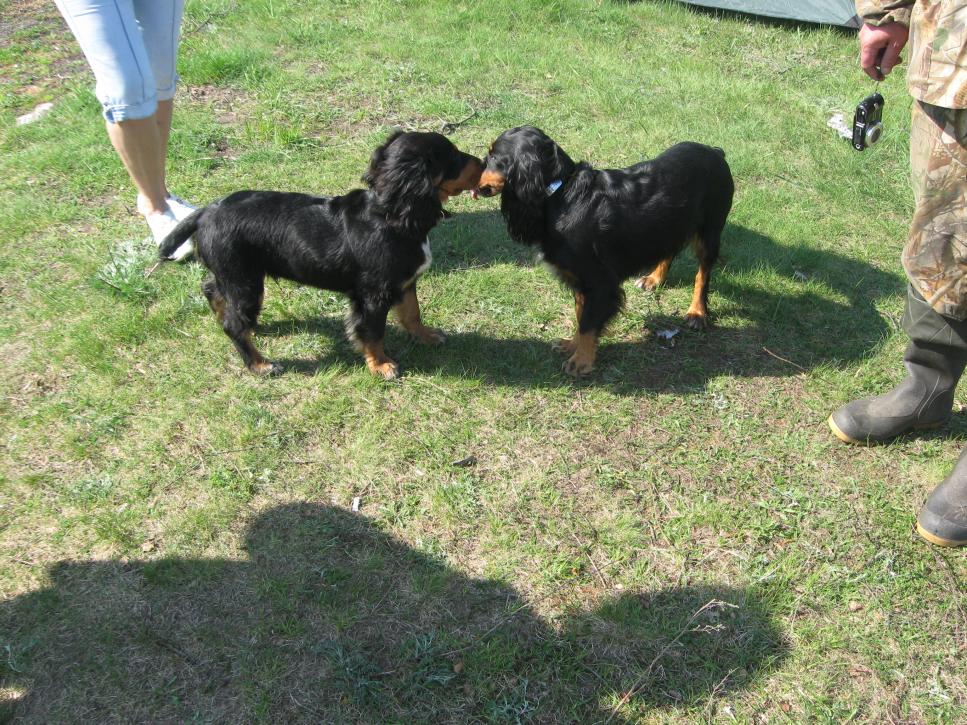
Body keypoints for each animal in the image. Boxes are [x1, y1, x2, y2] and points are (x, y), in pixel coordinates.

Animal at [158, 131, 482, 379]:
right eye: (454, 158)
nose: (483, 161)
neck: (391, 215)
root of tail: (206, 212)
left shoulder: (404, 281)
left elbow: (412, 311)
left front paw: (427, 336)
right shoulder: (373, 294)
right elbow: (373, 331)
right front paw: (381, 366)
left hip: (232, 273)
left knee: (212, 290)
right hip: (244, 279)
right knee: (234, 324)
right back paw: (260, 364)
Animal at [474, 126, 734, 376]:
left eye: (494, 156)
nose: (474, 175)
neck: (561, 193)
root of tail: (715, 152)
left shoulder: (599, 281)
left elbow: (588, 323)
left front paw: (581, 361)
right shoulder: (579, 280)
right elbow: (580, 315)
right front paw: (572, 345)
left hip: (710, 229)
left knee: (703, 273)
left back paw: (697, 313)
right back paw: (653, 279)